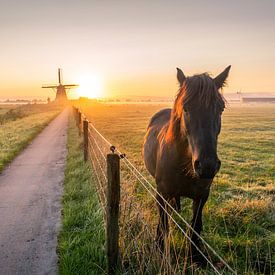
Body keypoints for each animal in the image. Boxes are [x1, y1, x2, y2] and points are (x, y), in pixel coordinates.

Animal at [143, 66, 232, 266]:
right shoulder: (161, 192)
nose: (207, 166)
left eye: (221, 108)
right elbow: (163, 223)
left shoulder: (202, 196)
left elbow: (195, 226)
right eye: (186, 108)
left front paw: (195, 256)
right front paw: (160, 249)